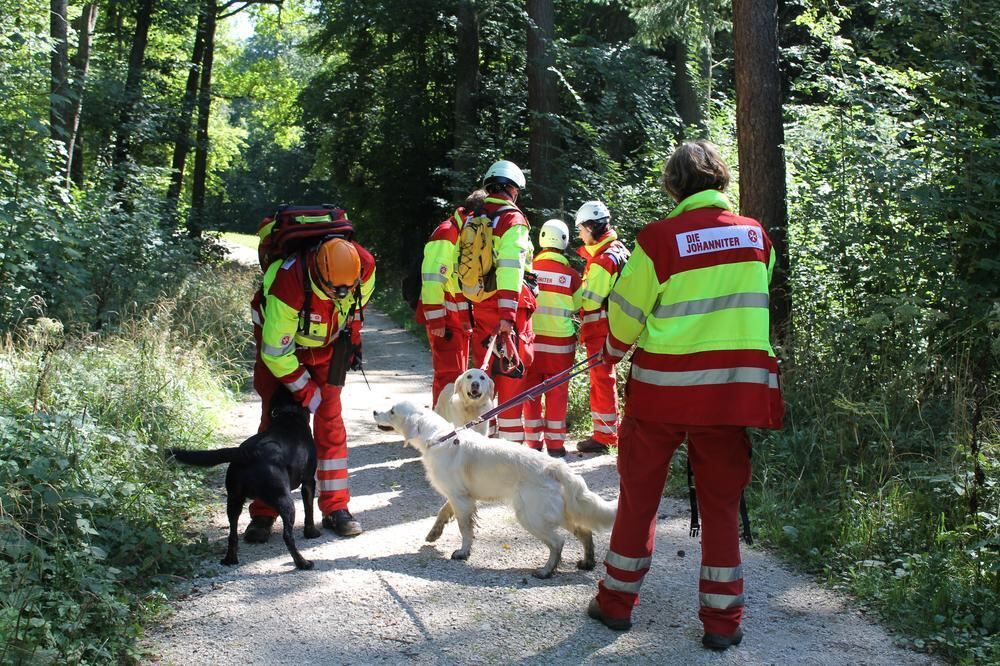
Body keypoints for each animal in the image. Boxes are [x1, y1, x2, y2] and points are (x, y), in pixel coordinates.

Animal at [166, 386, 318, 568]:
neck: (288, 415)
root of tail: (249, 452)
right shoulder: (309, 481)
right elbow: (309, 509)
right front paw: (312, 532)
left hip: (234, 499)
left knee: (232, 534)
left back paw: (230, 559)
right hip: (285, 499)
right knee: (287, 536)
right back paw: (303, 562)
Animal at [372, 400, 612, 576]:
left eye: (392, 411)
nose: (375, 411)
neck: (438, 437)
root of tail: (555, 465)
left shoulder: (461, 499)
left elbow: (465, 528)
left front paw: (463, 552)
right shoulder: (458, 495)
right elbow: (443, 512)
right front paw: (434, 533)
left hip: (530, 516)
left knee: (558, 542)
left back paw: (546, 571)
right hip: (556, 513)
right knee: (585, 532)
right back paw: (587, 562)